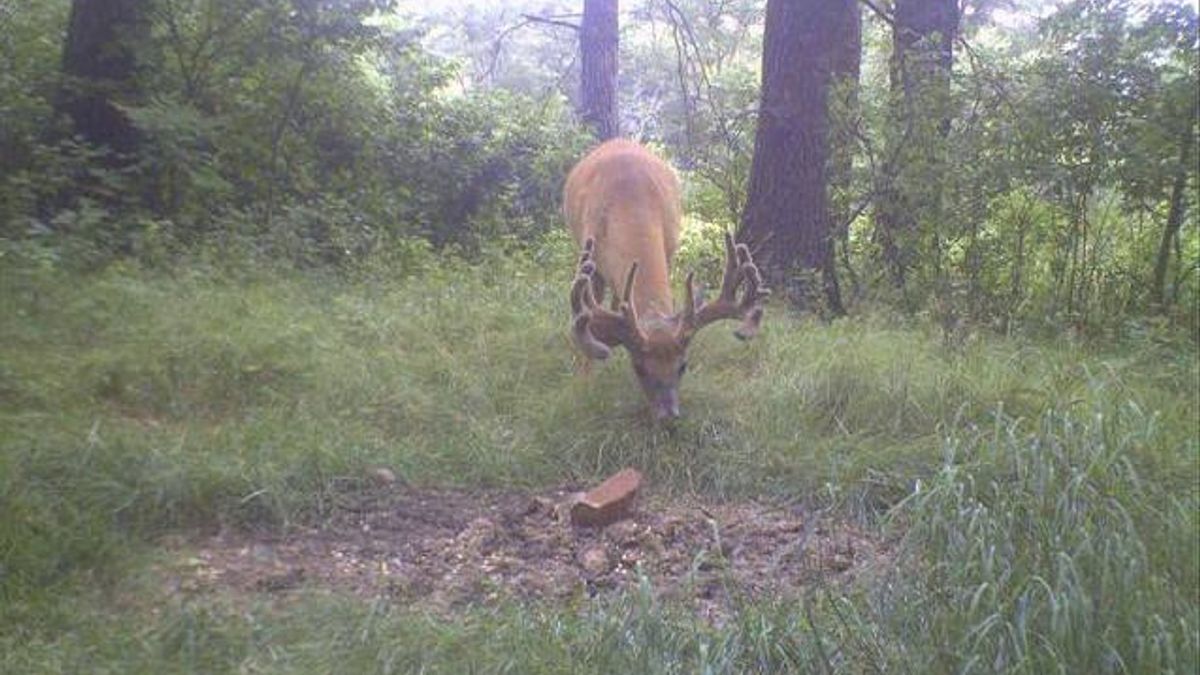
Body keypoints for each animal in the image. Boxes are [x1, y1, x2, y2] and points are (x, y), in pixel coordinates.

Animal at [564, 139, 770, 420]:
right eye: (639, 368)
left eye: (683, 366)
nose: (669, 415)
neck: (630, 200)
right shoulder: (590, 259)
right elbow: (587, 319)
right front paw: (587, 381)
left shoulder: (669, 248)